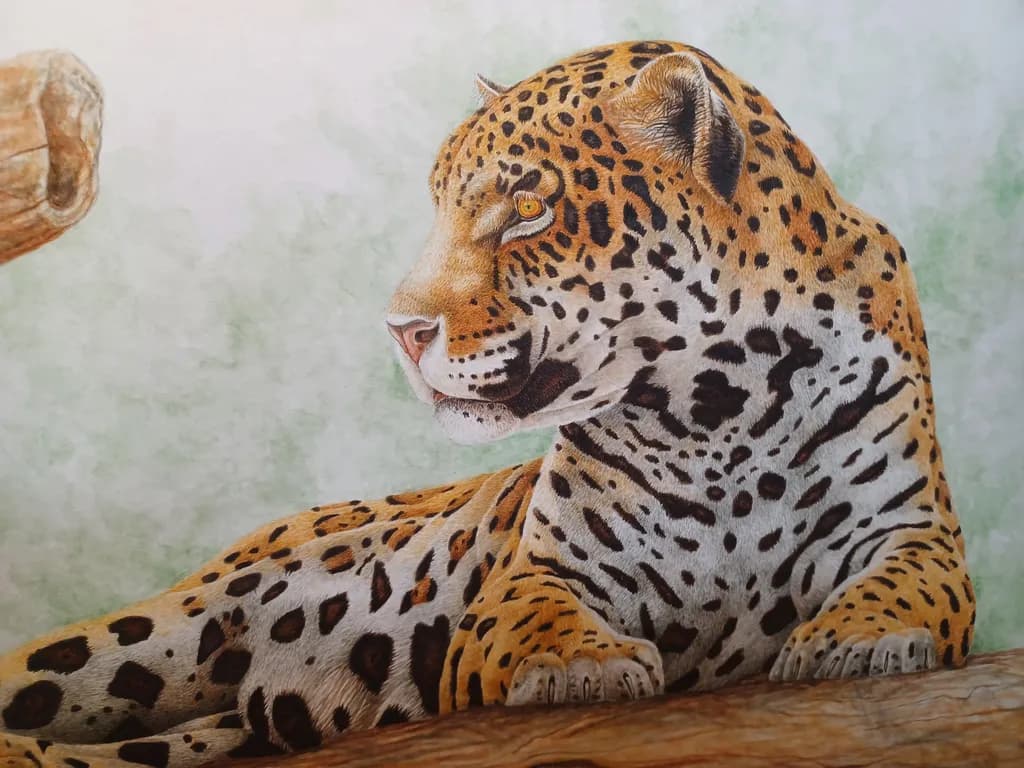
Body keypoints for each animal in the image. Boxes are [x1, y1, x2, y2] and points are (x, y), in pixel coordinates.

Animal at [0, 40, 974, 768]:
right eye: (438, 206)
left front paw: (852, 639)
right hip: (159, 632)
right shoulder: (534, 577)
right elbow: (540, 620)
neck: (713, 408)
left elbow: (906, 586)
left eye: (529, 209)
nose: (401, 330)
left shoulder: (916, 532)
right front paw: (585, 665)